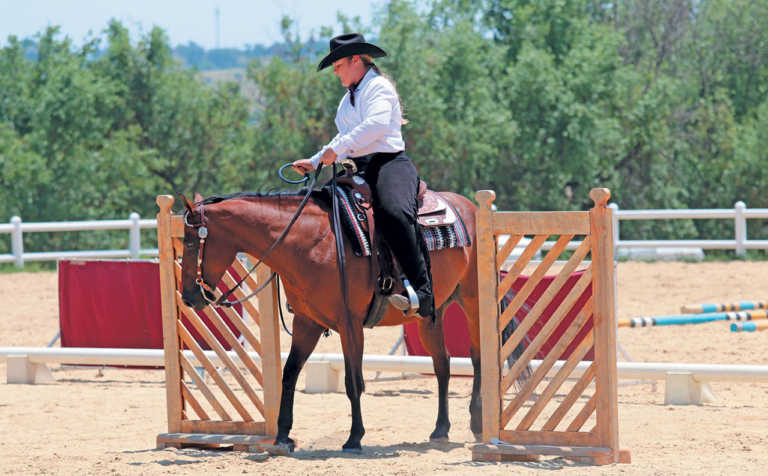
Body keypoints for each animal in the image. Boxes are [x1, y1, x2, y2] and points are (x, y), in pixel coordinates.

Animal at [177, 188, 484, 452]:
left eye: (190, 242)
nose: (189, 297)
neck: (313, 241)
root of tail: (469, 206)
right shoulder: (307, 323)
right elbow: (290, 373)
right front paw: (282, 436)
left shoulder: (350, 325)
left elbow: (353, 381)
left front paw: (354, 438)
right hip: (432, 314)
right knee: (442, 363)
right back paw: (441, 429)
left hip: (473, 302)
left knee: (478, 356)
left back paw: (478, 422)